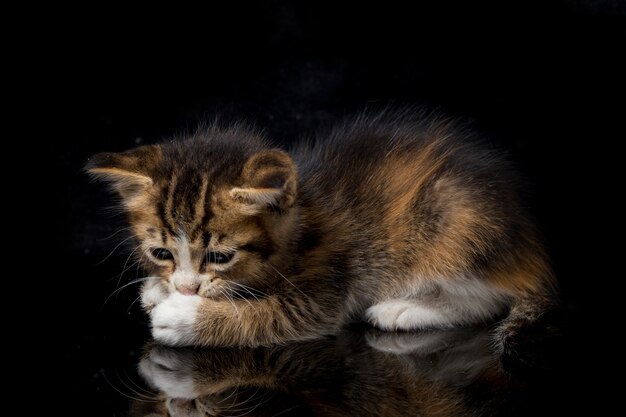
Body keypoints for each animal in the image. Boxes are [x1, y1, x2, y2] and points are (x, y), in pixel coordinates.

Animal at [86, 109, 556, 348]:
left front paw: (181, 316)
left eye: (220, 257)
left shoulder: (326, 283)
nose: (185, 289)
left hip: (454, 224)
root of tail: (531, 247)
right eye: (161, 253)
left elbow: (268, 316)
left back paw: (403, 309)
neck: (299, 226)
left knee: (490, 298)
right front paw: (158, 288)